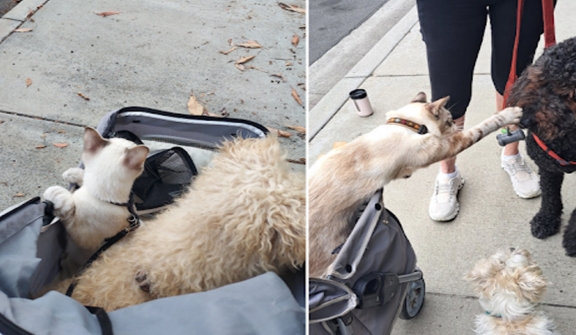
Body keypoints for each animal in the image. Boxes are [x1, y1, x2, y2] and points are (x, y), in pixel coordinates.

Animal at [44, 127, 150, 274]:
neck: (103, 198)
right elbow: (84, 176)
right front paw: (72, 174)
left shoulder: (83, 238)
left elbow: (69, 208)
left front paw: (55, 192)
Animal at [308, 92, 524, 278]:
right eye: (449, 121)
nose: (457, 127)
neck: (406, 124)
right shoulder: (447, 145)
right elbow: (483, 126)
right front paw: (510, 114)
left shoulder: (334, 148)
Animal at [508, 36, 576, 258]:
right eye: (538, 79)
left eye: (569, 94)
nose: (526, 120)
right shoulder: (548, 167)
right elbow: (549, 196)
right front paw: (546, 221)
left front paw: (573, 238)